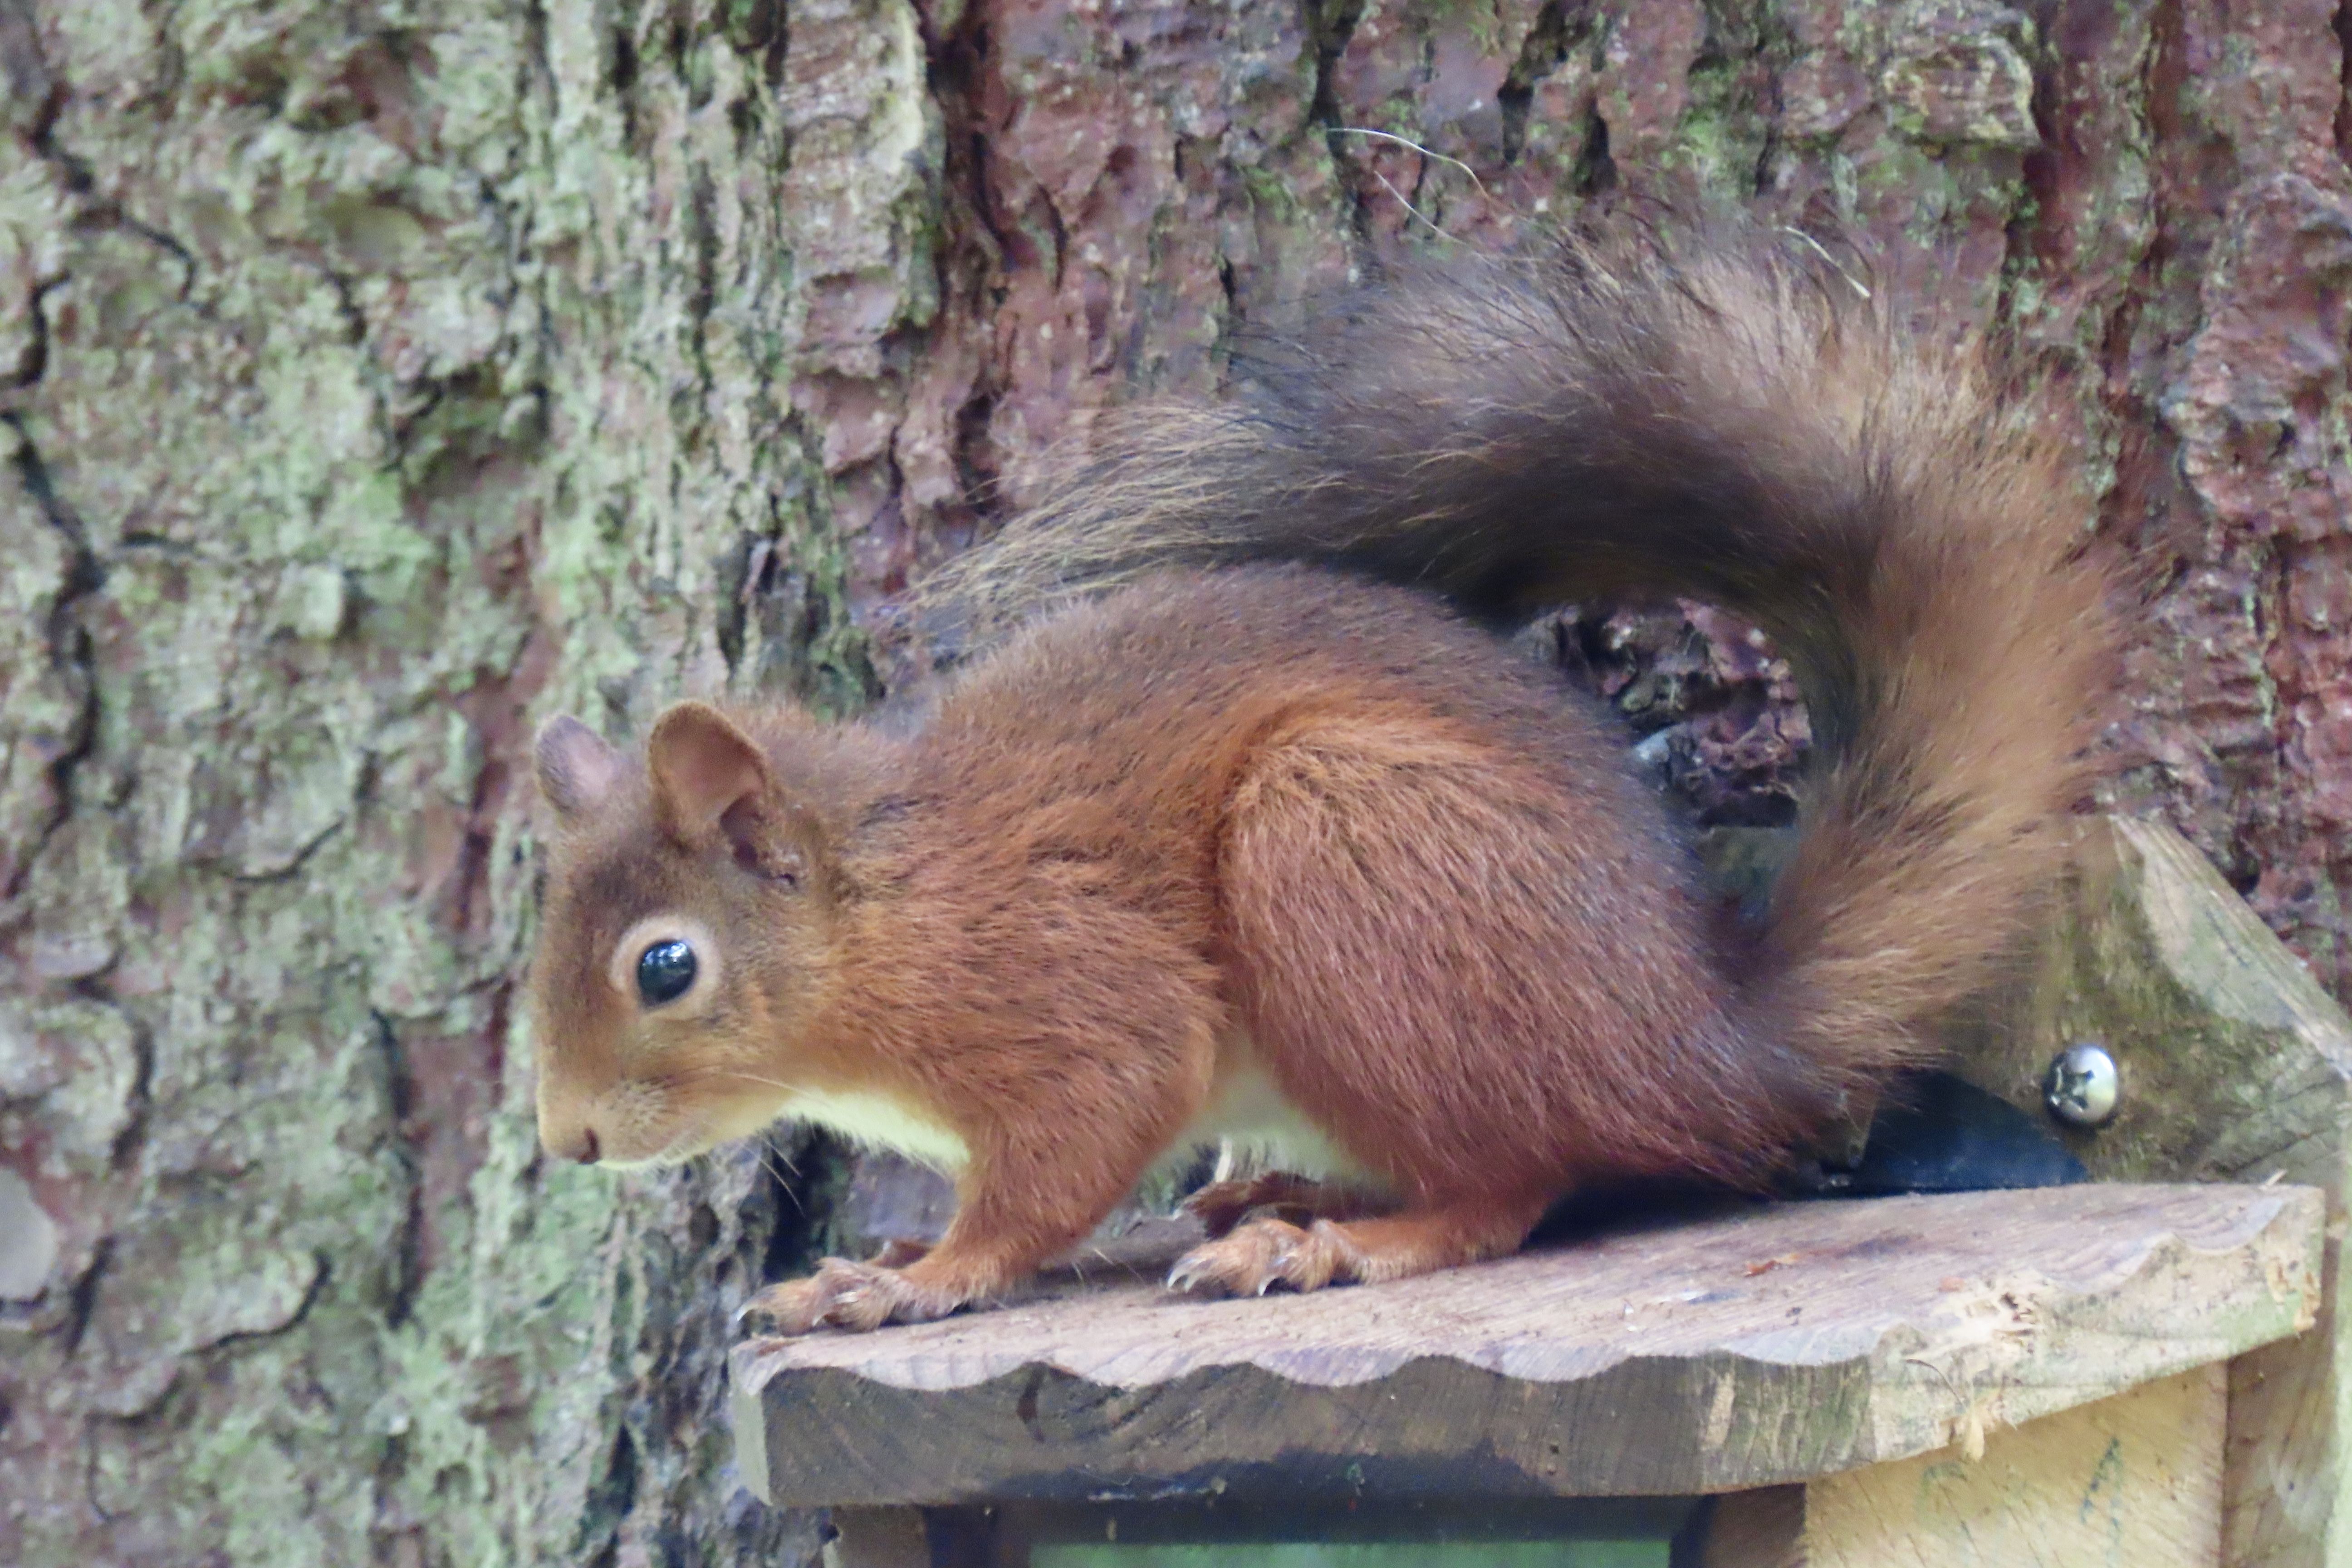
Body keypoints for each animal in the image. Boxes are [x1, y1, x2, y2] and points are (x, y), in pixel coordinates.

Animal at [525, 219, 2117, 1335]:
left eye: (665, 967)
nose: (569, 1143)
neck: (890, 904)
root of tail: (1715, 1040)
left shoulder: (1069, 990)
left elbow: (1070, 1152)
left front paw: (914, 1278)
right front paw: (904, 1247)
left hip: (1345, 841)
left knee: (1509, 1189)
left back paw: (1336, 1243)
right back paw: (1292, 1188)